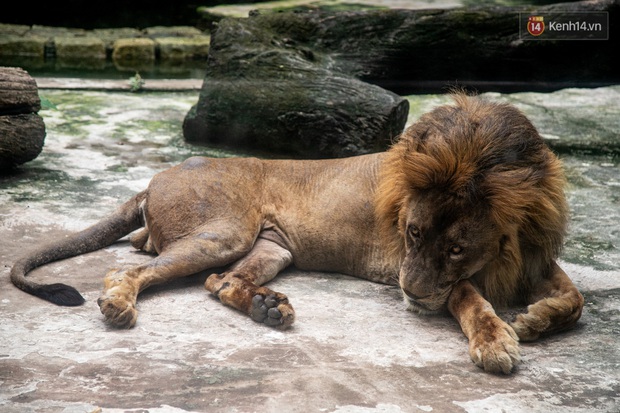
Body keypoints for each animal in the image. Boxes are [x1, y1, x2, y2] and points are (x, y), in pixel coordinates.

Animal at [9, 94, 584, 374]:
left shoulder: (531, 255)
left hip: (272, 247)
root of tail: (157, 175)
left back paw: (268, 308)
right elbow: (467, 294)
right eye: (412, 233)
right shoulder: (410, 266)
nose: (410, 293)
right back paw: (118, 303)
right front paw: (497, 340)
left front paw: (535, 319)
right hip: (223, 233)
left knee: (219, 282)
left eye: (457, 246)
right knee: (129, 267)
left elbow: (573, 298)